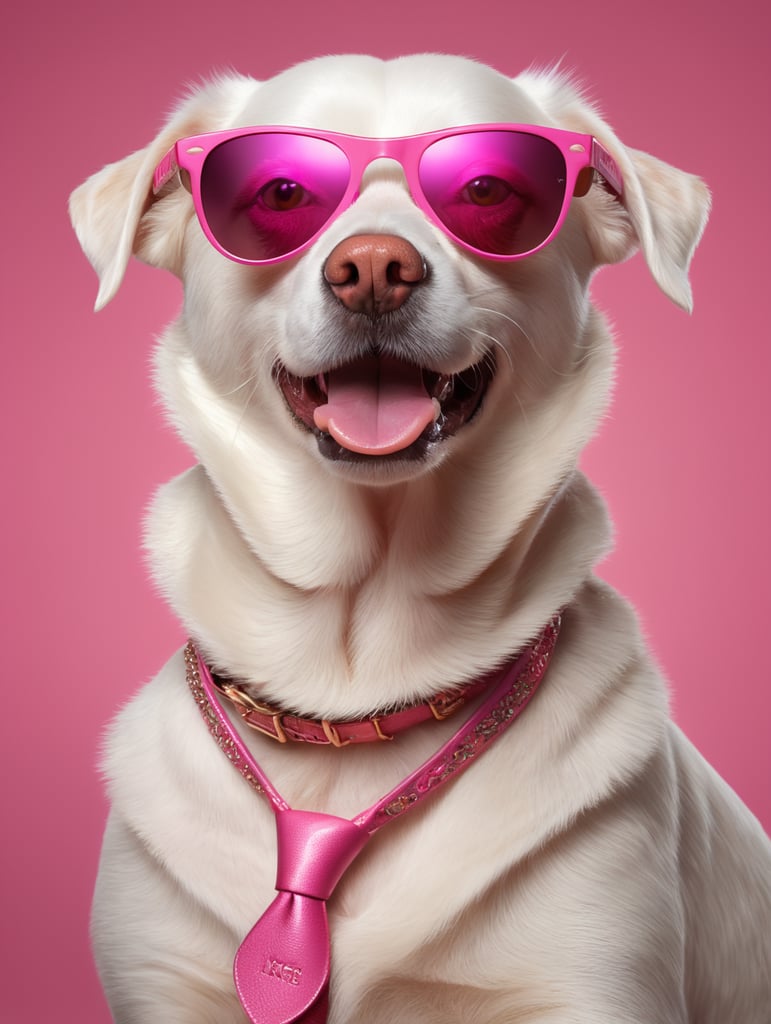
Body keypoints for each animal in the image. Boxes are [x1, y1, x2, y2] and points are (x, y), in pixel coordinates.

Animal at [69, 56, 765, 1024]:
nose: (373, 268)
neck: (355, 688)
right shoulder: (163, 986)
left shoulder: (587, 986)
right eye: (280, 192)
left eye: (487, 188)